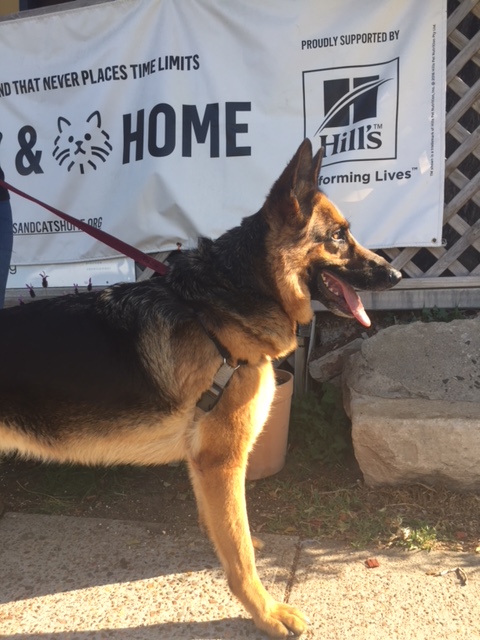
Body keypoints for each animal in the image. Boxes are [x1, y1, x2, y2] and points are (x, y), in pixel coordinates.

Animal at [0, 139, 401, 637]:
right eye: (339, 237)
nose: (397, 276)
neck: (227, 302)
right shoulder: (220, 461)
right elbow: (240, 554)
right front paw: (266, 613)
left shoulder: (207, 466)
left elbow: (229, 531)